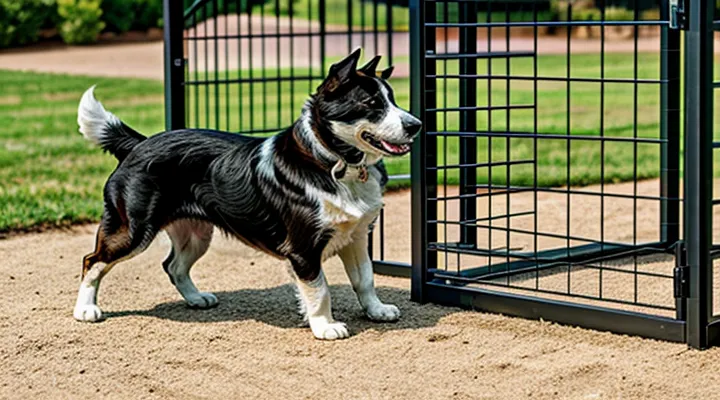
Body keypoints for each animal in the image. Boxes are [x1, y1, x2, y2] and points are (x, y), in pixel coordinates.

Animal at [73, 48, 422, 340]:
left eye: (391, 100)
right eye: (371, 104)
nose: (416, 125)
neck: (330, 161)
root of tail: (139, 143)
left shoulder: (356, 236)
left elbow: (365, 279)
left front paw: (377, 310)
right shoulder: (303, 250)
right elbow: (320, 290)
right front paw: (324, 326)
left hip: (196, 233)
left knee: (173, 266)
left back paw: (196, 298)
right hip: (133, 230)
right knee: (93, 260)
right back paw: (85, 309)